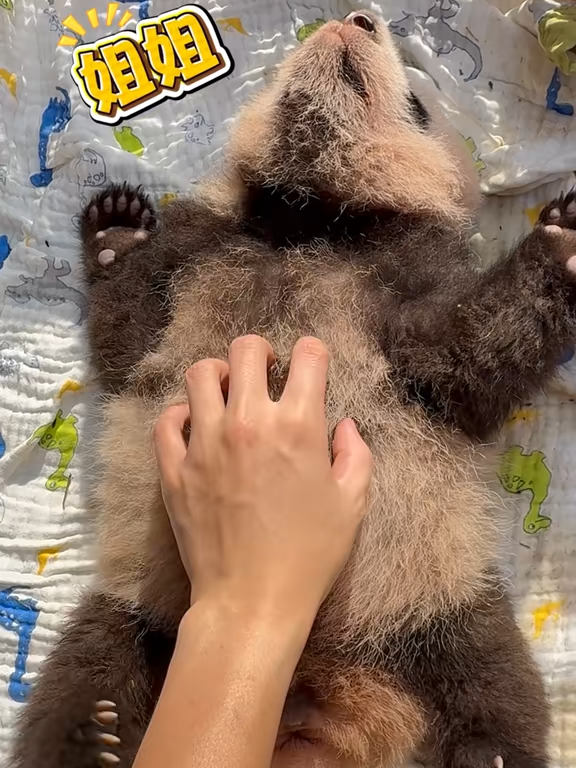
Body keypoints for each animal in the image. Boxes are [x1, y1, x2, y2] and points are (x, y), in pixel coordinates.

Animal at [14, 9, 574, 768]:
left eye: (419, 106)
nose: (355, 18)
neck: (310, 218)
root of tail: (324, 701)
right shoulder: (197, 254)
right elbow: (127, 339)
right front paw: (118, 227)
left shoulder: (411, 271)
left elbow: (471, 355)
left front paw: (564, 239)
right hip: (143, 612)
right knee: (88, 666)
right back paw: (91, 735)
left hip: (441, 594)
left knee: (496, 685)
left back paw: (485, 753)